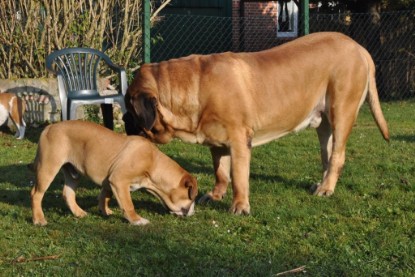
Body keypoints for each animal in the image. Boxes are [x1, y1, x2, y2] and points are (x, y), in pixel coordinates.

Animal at [30, 120, 197, 224]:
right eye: (192, 196)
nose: (194, 210)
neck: (153, 164)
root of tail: (49, 127)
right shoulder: (119, 180)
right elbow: (128, 204)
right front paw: (137, 220)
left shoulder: (110, 181)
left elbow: (105, 196)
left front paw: (105, 211)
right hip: (48, 167)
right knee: (36, 194)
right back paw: (39, 219)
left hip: (73, 173)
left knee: (68, 193)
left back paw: (79, 213)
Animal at [123, 31, 390, 213]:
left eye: (130, 107)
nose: (123, 118)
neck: (195, 88)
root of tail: (358, 48)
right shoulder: (216, 143)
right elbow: (221, 172)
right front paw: (215, 195)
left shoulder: (239, 139)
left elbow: (239, 176)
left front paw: (240, 206)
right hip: (324, 124)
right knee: (327, 153)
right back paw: (321, 184)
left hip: (342, 111)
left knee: (337, 156)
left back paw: (327, 189)